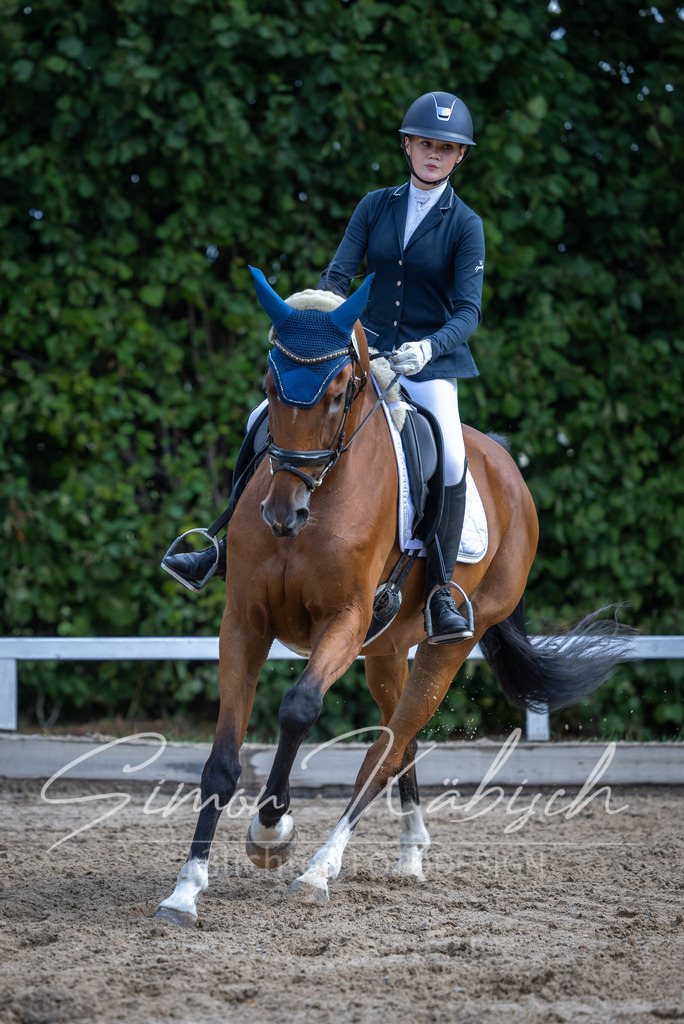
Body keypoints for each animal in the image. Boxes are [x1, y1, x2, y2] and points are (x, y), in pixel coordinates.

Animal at [155, 269, 625, 925]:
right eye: (270, 386)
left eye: (338, 393)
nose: (281, 514)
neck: (321, 495)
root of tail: (505, 462)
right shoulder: (244, 621)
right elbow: (222, 759)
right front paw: (186, 889)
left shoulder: (345, 620)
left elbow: (299, 708)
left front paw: (271, 832)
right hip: (386, 647)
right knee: (400, 740)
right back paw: (410, 853)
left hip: (449, 643)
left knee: (386, 747)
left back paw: (320, 869)